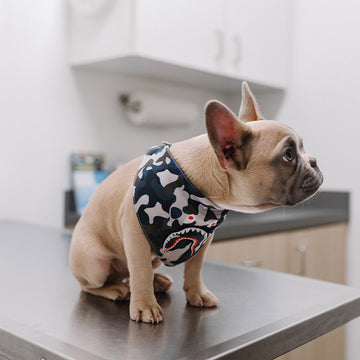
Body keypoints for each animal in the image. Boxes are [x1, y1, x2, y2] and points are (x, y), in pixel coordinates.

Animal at [69, 83, 322, 324]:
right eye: (288, 155)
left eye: (301, 148)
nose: (314, 161)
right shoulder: (135, 235)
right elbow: (140, 272)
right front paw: (145, 306)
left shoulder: (202, 239)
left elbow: (194, 268)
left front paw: (196, 294)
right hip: (95, 263)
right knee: (93, 284)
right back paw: (116, 289)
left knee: (133, 272)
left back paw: (156, 281)